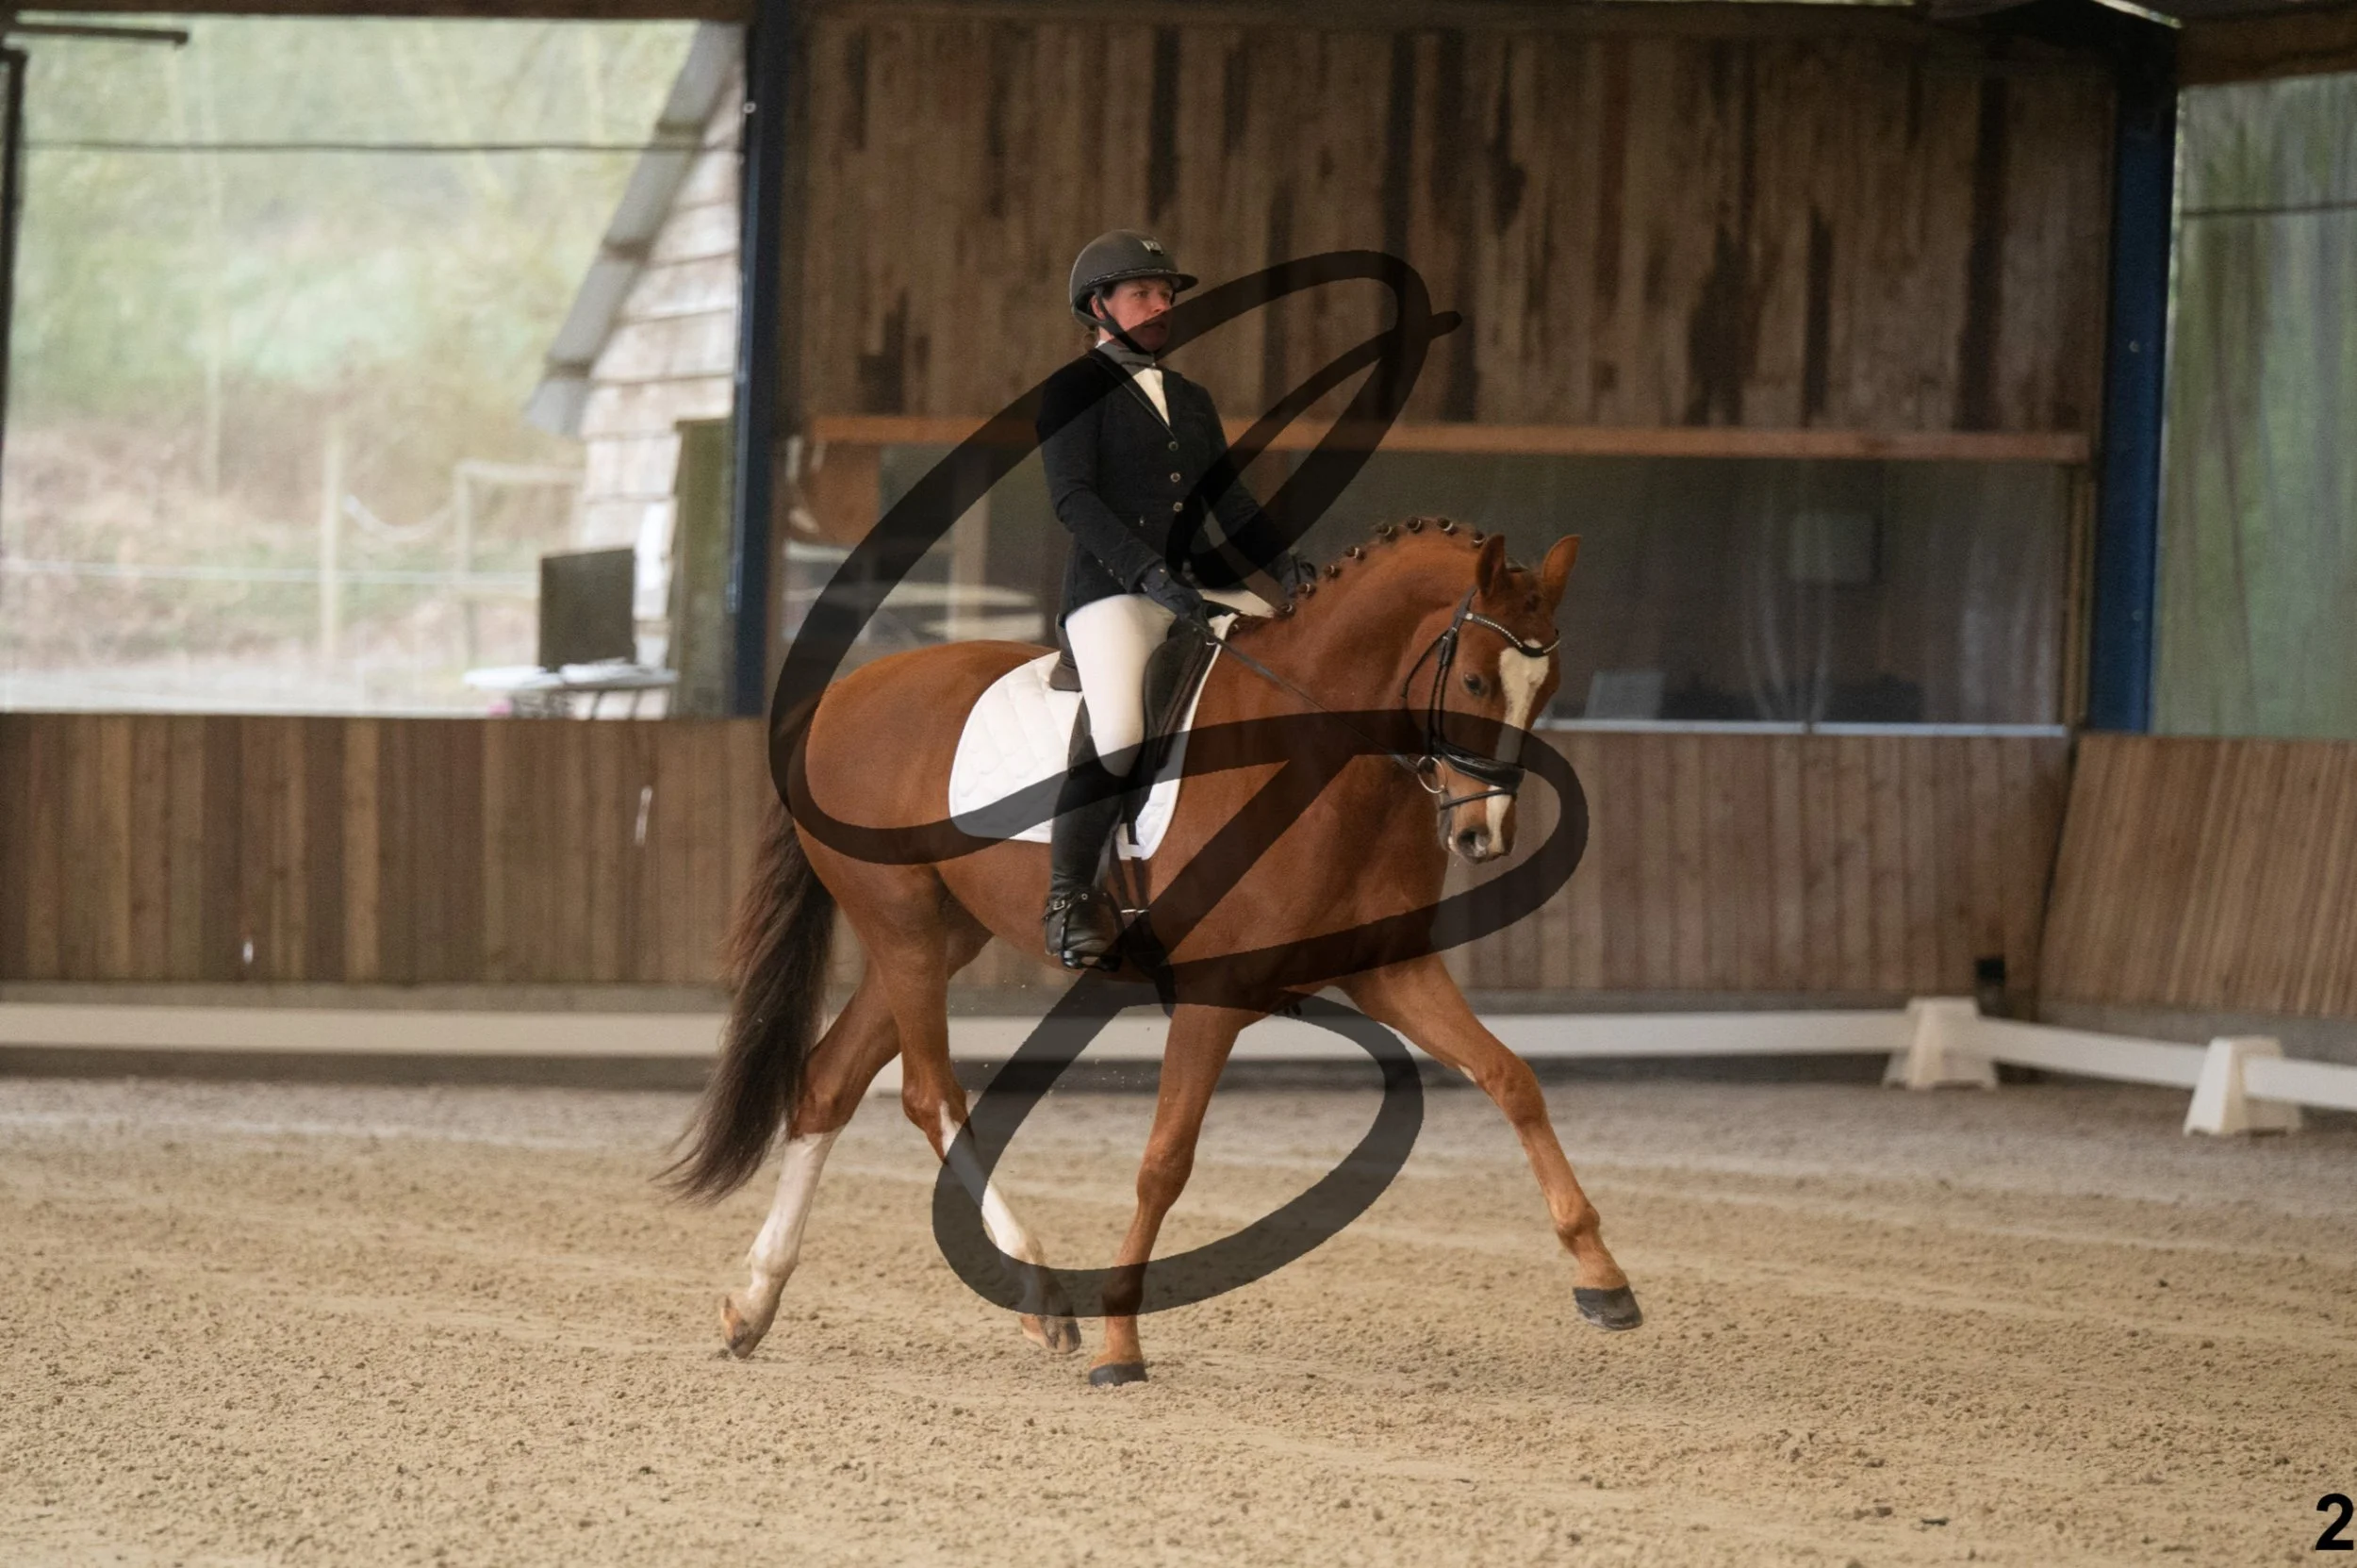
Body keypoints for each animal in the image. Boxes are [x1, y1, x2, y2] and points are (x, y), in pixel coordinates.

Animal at [667, 518, 1642, 1386]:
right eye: (1474, 678)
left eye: (1546, 687)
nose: (1484, 835)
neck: (1321, 754)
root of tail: (839, 699)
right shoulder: (1216, 994)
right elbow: (1165, 1161)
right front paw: (1119, 1345)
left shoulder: (1391, 969)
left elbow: (1512, 1079)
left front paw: (1603, 1278)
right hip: (900, 922)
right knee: (928, 1093)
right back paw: (1041, 1298)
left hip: (941, 933)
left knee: (828, 1081)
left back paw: (754, 1303)